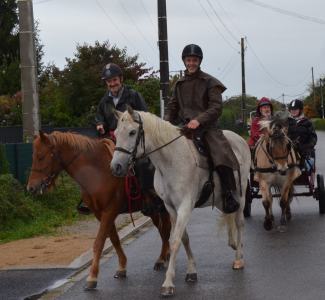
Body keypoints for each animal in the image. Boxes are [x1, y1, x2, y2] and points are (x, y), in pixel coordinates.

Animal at [26, 131, 171, 290]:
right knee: (163, 230)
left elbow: (99, 243)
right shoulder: (100, 214)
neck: (98, 171)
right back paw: (165, 255)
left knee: (166, 231)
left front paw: (92, 277)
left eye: (41, 156)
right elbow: (114, 239)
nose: (31, 187)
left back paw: (162, 259)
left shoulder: (109, 211)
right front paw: (122, 267)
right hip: (153, 210)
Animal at [110, 107, 249, 296]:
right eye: (116, 133)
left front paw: (168, 283)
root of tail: (240, 139)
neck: (171, 160)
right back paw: (233, 244)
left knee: (240, 222)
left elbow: (174, 240)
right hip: (222, 198)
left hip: (241, 195)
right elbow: (184, 238)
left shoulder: (185, 206)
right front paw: (191, 271)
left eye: (132, 132)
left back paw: (239, 258)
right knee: (229, 215)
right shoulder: (171, 208)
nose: (115, 167)